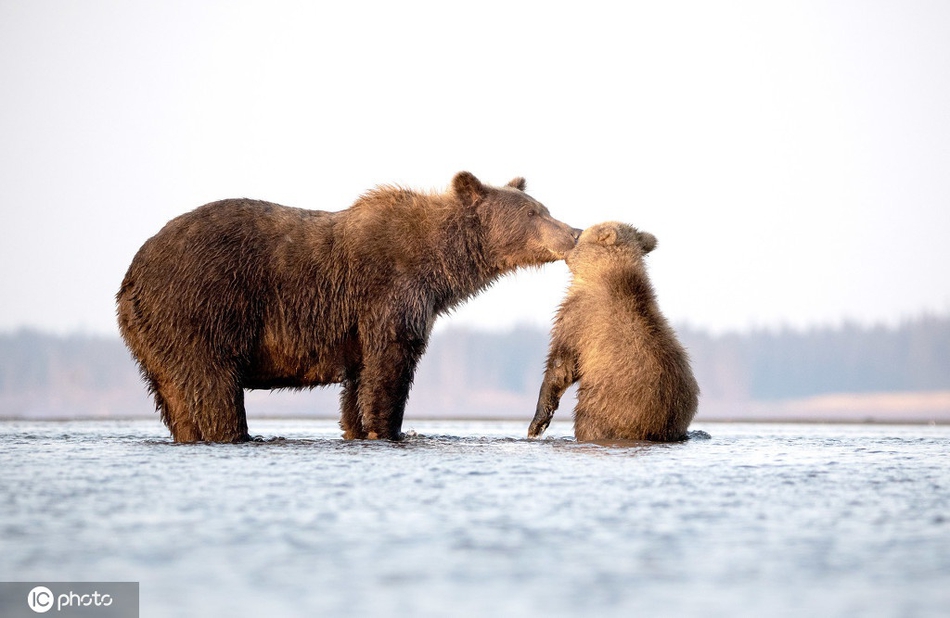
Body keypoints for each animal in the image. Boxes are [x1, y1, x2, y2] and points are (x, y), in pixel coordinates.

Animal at [119, 173, 580, 440]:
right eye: (534, 213)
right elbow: (390, 368)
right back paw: (237, 433)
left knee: (175, 397)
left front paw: (357, 428)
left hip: (154, 337)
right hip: (202, 308)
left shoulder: (358, 328)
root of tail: (132, 276)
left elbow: (358, 385)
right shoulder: (389, 294)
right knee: (214, 387)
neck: (439, 266)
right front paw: (389, 429)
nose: (574, 232)